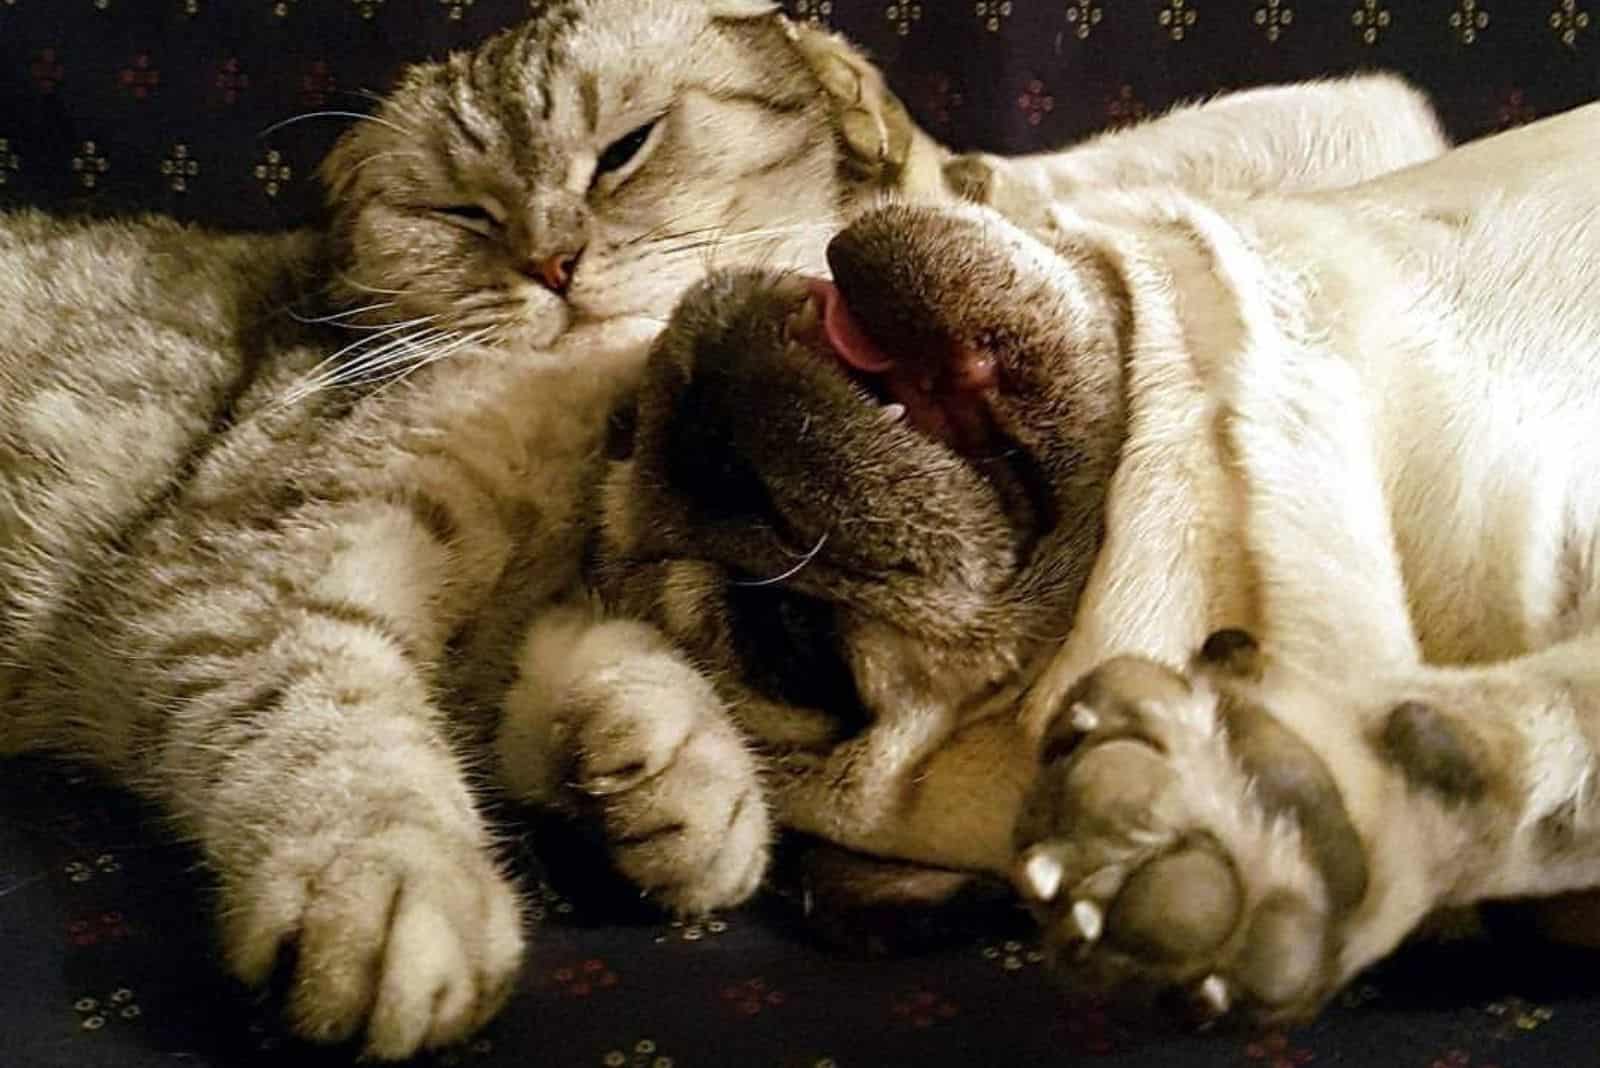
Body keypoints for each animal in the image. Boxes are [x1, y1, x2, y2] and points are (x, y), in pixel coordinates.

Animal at [0, 0, 947, 1055]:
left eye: (624, 150)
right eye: (462, 213)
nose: (551, 262)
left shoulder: (507, 635)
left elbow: (603, 663)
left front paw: (676, 775)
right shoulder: (239, 575)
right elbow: (338, 731)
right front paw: (391, 891)